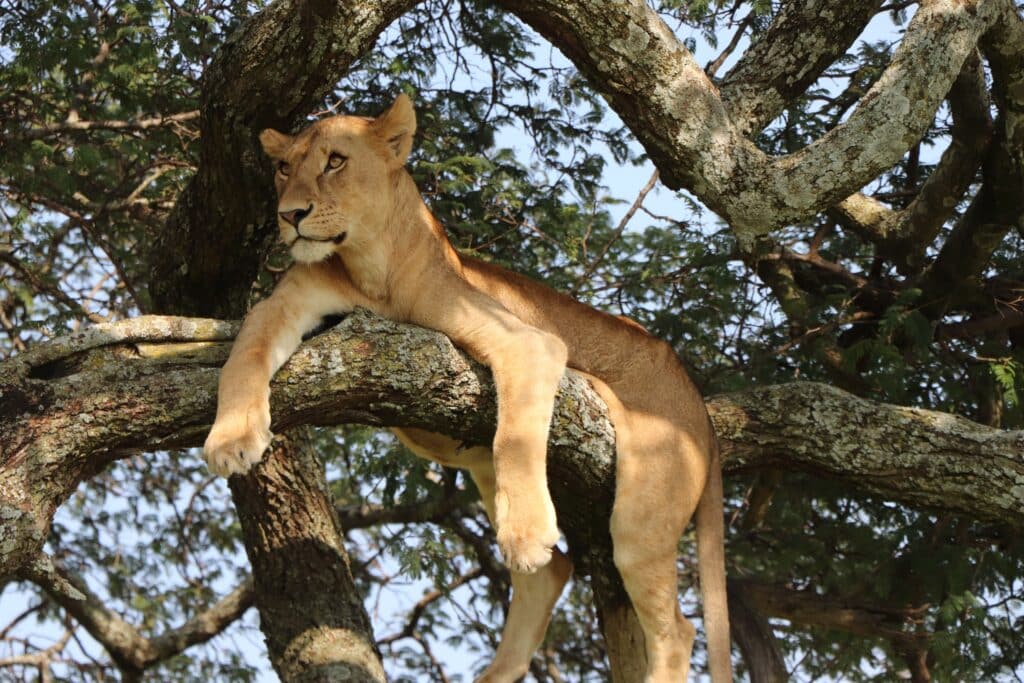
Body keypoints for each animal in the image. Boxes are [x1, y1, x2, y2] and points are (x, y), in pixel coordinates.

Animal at [203, 94, 732, 682]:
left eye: (335, 162)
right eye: (283, 167)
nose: (289, 215)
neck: (369, 268)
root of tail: (695, 399)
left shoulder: (529, 343)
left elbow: (515, 440)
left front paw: (526, 534)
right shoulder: (284, 305)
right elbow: (244, 354)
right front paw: (231, 440)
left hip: (645, 505)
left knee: (676, 629)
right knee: (552, 575)